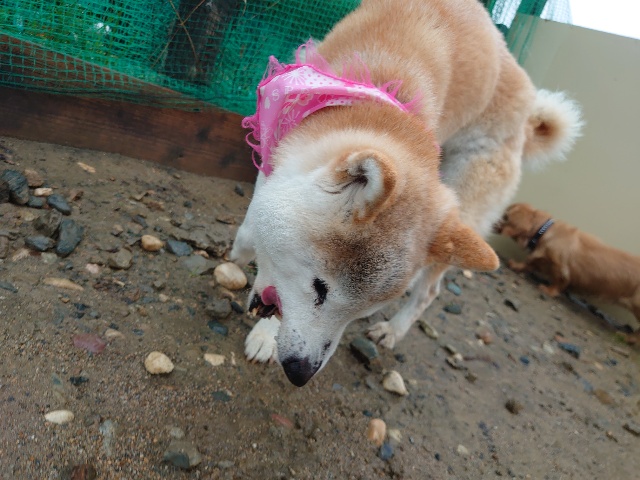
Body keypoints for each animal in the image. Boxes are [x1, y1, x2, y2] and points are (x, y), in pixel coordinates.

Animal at [229, 0, 582, 386]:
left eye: (361, 311)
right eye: (320, 288)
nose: (301, 373)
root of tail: (527, 118)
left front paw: (265, 334)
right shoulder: (276, 140)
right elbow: (255, 215)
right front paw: (243, 249)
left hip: (460, 212)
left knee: (429, 291)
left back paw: (393, 331)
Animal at [495, 203, 640, 336]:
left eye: (504, 216)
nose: (493, 220)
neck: (545, 231)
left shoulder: (560, 267)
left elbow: (558, 281)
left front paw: (549, 290)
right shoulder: (541, 259)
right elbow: (529, 262)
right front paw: (517, 266)